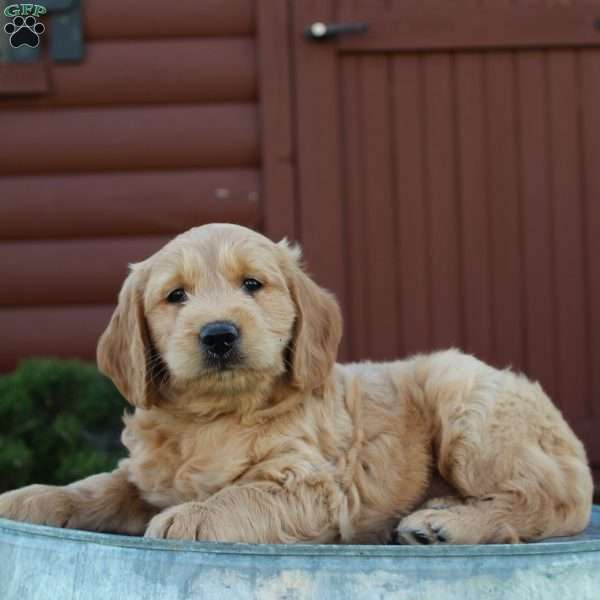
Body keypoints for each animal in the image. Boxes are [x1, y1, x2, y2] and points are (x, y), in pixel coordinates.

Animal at [0, 224, 592, 544]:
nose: (219, 334)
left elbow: (238, 496)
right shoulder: (144, 477)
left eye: (252, 284)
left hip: (466, 405)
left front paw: (188, 516)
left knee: (554, 501)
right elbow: (95, 487)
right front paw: (29, 497)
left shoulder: (310, 486)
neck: (214, 417)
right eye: (176, 296)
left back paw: (447, 524)